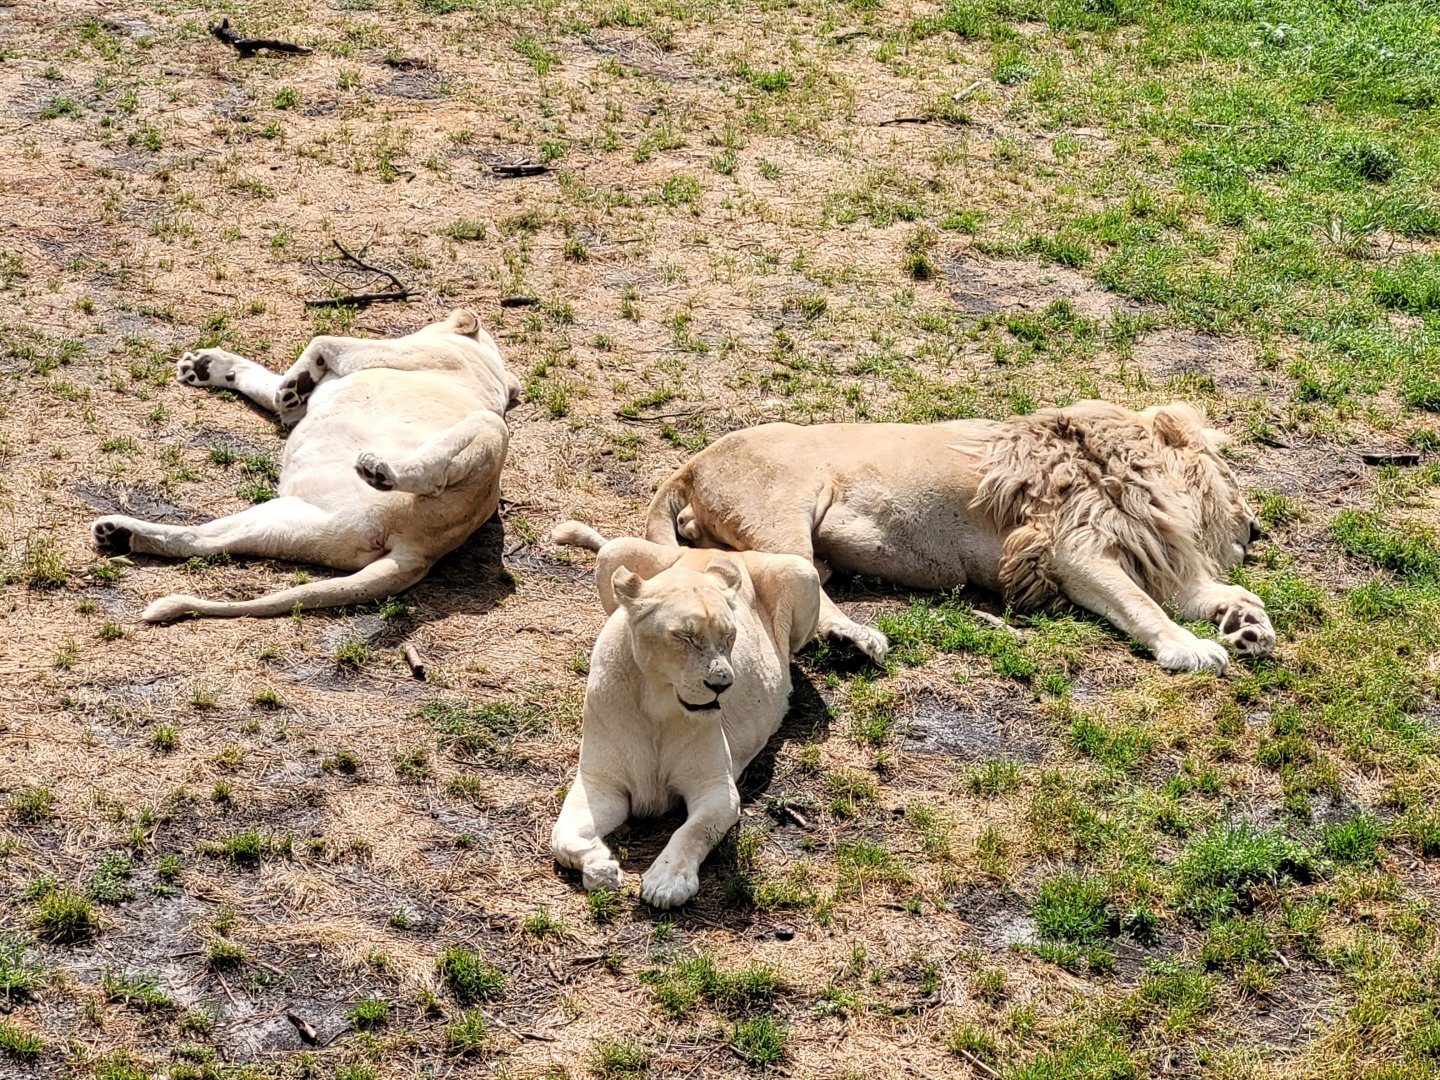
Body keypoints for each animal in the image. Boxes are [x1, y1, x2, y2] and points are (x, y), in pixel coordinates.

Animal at [91, 308, 520, 621]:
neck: (487, 370)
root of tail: (421, 551)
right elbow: (266, 381)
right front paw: (209, 366)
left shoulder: (397, 353)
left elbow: (323, 339)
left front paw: (291, 383)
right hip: (290, 524)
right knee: (199, 541)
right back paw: (118, 534)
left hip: (490, 428)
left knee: (432, 472)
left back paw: (380, 469)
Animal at [548, 522, 820, 908]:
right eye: (684, 637)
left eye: (730, 635)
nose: (723, 684)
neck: (657, 708)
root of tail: (715, 551)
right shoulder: (600, 783)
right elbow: (561, 835)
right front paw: (601, 866)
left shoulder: (716, 788)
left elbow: (692, 832)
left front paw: (667, 881)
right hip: (613, 554)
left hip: (802, 573)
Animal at [643, 400, 1273, 674]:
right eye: (1234, 479)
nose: (1257, 528)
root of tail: (691, 465)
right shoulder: (1071, 553)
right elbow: (1144, 607)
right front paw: (1191, 649)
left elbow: (1210, 595)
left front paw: (1247, 624)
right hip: (783, 511)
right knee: (804, 593)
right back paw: (855, 640)